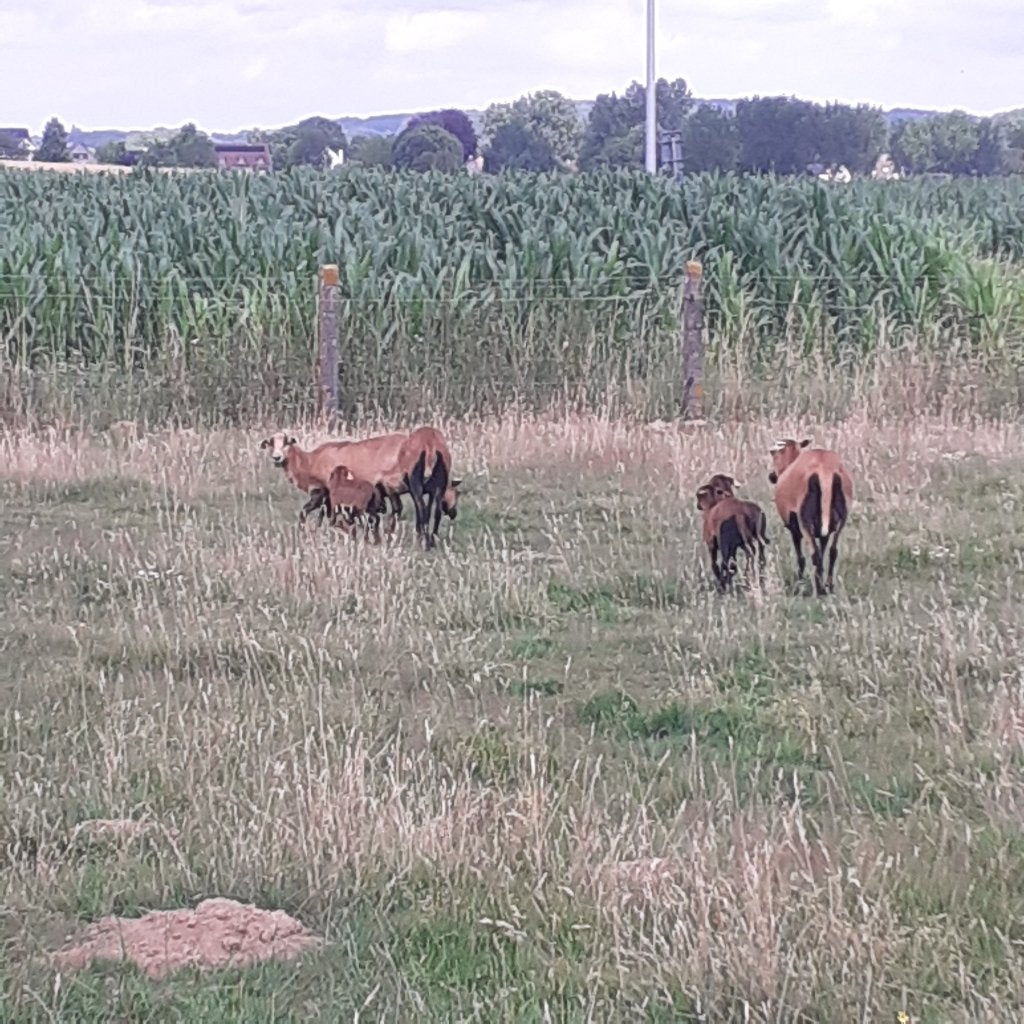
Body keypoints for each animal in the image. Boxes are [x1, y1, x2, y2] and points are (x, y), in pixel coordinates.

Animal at [767, 437, 853, 595]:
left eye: (773, 453)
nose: (772, 476)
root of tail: (825, 471)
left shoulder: (793, 525)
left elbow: (801, 557)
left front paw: (800, 581)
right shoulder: (824, 532)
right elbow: (824, 551)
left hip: (804, 521)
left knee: (814, 556)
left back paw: (820, 590)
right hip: (841, 517)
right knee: (833, 552)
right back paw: (829, 586)